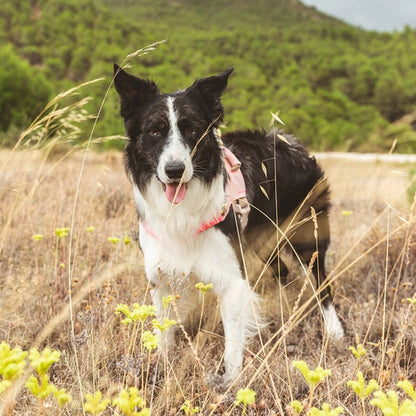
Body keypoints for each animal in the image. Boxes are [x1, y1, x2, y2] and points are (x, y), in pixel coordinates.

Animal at [112, 64, 342, 386]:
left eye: (192, 130)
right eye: (154, 131)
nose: (175, 170)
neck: (183, 212)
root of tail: (289, 142)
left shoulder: (232, 279)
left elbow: (232, 341)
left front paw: (231, 383)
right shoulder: (162, 276)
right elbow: (165, 331)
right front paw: (160, 366)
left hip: (307, 239)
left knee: (323, 286)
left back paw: (334, 332)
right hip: (262, 244)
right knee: (284, 273)